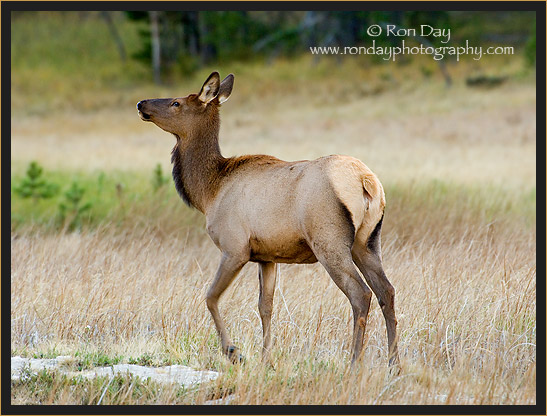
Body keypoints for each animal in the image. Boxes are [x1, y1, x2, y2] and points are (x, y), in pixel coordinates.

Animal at [137, 71, 400, 368]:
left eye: (177, 103)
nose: (141, 103)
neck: (209, 190)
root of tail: (367, 181)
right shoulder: (267, 256)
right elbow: (266, 306)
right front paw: (266, 359)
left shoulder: (235, 247)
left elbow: (211, 297)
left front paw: (234, 351)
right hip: (367, 242)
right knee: (387, 291)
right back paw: (394, 364)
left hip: (329, 241)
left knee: (361, 294)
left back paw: (354, 363)